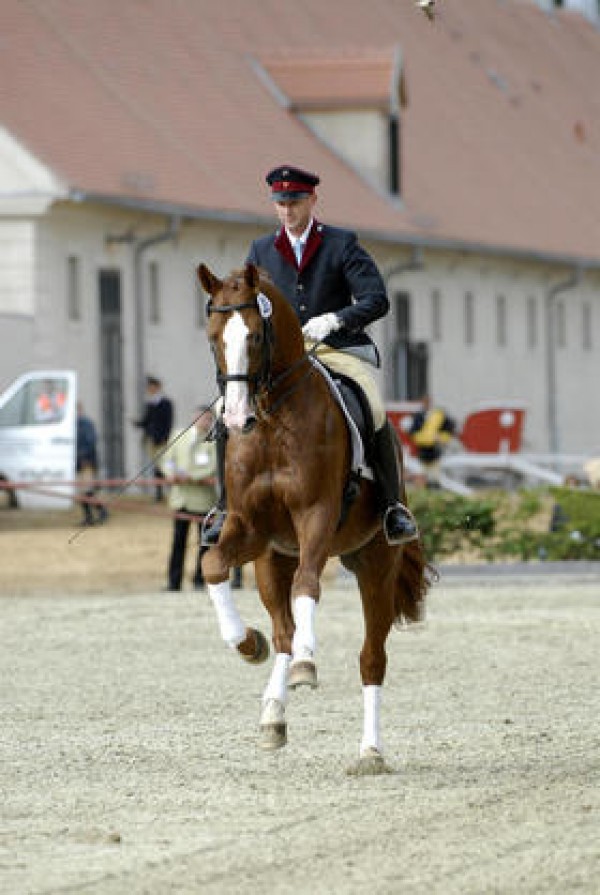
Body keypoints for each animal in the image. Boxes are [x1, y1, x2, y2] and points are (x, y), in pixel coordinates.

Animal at [199, 262, 428, 772]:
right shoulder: (249, 527)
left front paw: (308, 658)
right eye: (212, 338)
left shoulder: (317, 516)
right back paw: (273, 715)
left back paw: (370, 751)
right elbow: (213, 566)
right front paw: (247, 643)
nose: (237, 418)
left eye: (256, 335)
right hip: (271, 560)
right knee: (283, 628)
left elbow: (309, 584)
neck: (271, 422)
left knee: (371, 658)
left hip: (375, 564)